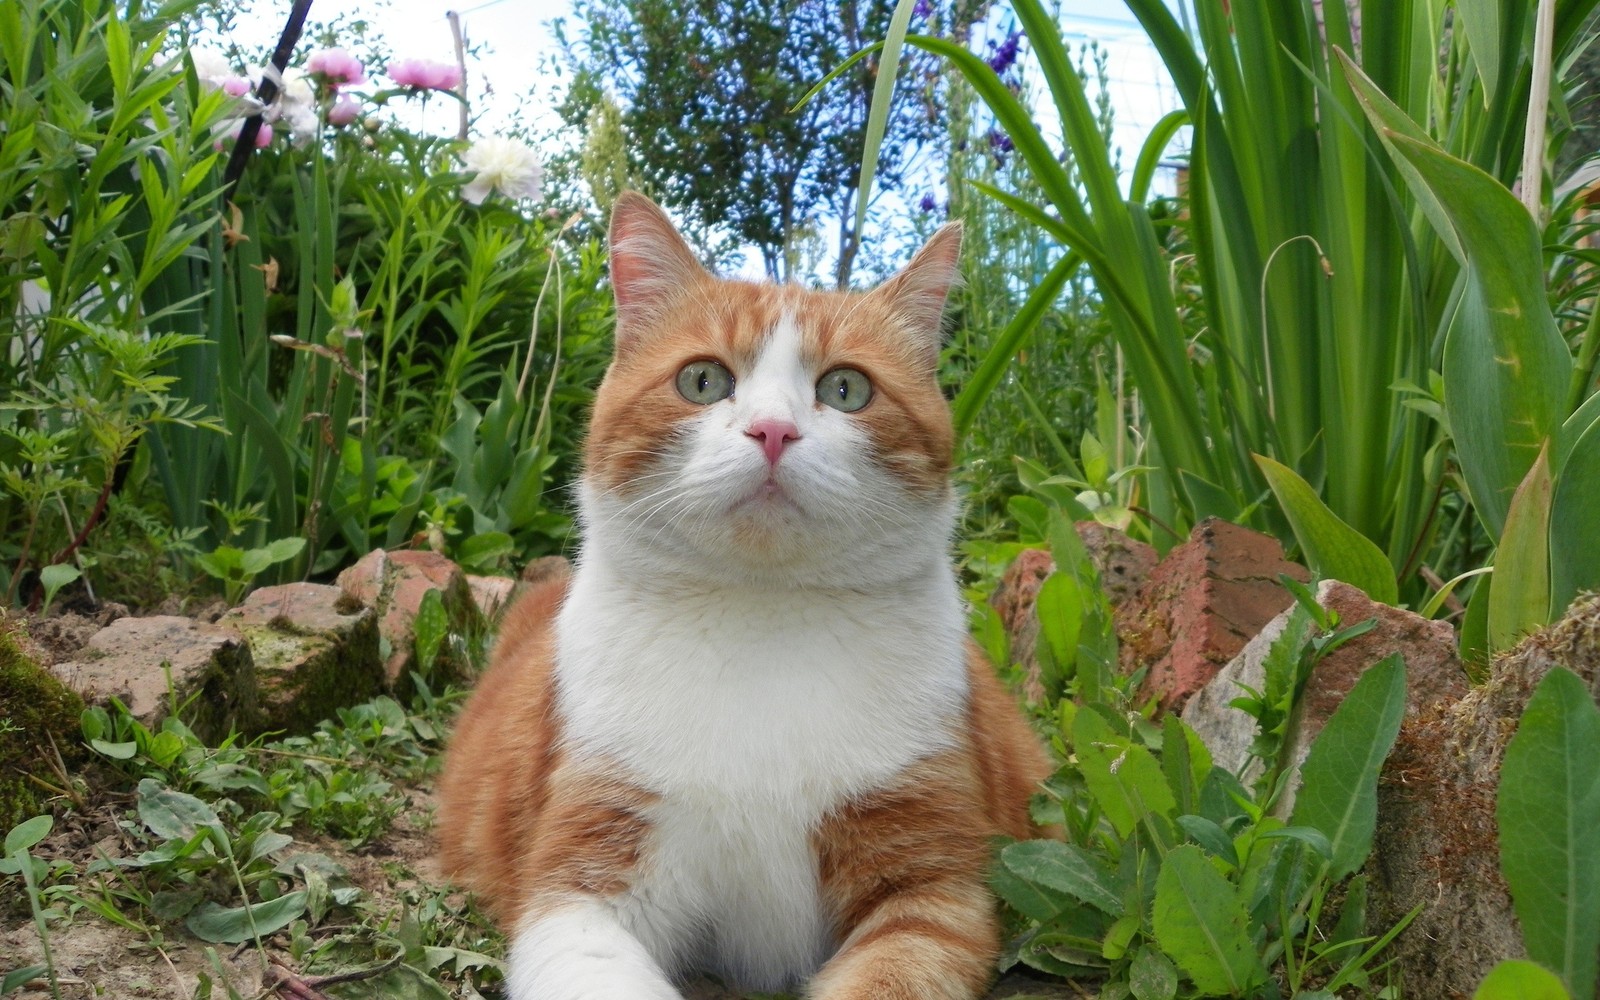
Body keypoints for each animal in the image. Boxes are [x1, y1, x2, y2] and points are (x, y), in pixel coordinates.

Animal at [438, 191, 1056, 992]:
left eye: (846, 389)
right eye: (703, 381)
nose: (772, 431)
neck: (761, 620)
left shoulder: (934, 895)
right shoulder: (582, 884)